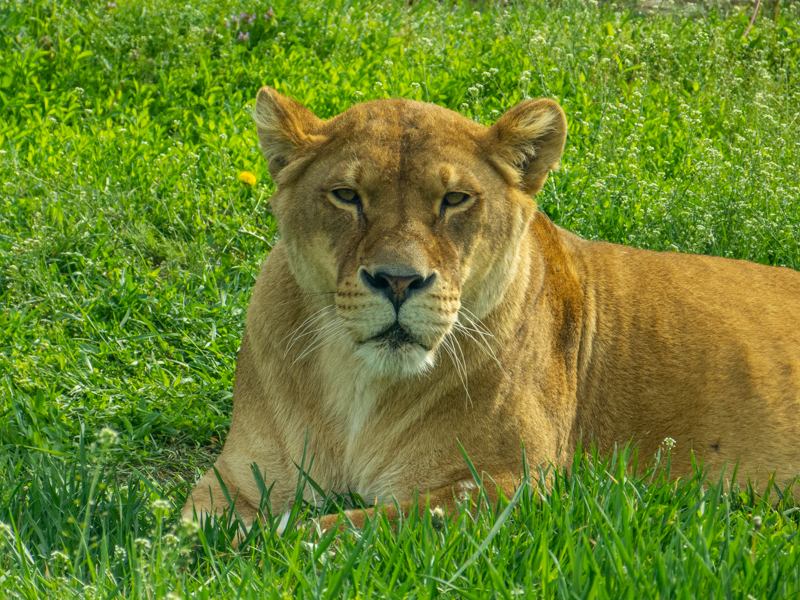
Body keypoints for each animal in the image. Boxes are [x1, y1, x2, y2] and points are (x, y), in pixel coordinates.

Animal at [183, 87, 800, 534]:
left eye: (455, 199)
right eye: (347, 196)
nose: (398, 280)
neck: (359, 384)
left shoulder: (515, 485)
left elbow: (336, 529)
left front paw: (268, 545)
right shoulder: (239, 473)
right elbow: (184, 533)